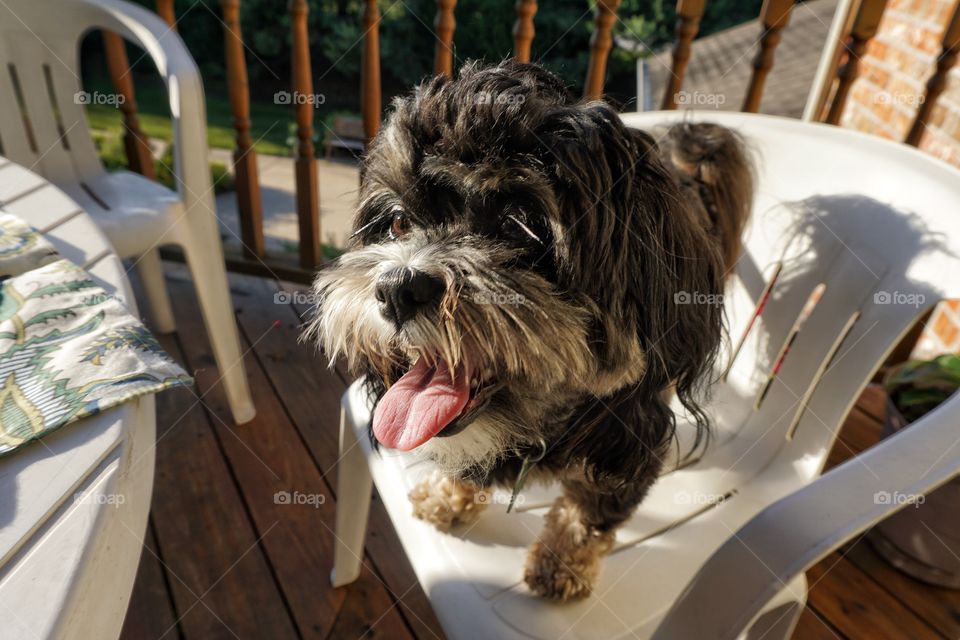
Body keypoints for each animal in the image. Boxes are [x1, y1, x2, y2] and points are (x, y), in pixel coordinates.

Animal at [312, 58, 752, 600]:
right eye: (396, 223)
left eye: (517, 226)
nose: (397, 287)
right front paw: (449, 496)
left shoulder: (632, 442)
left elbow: (588, 512)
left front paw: (562, 563)